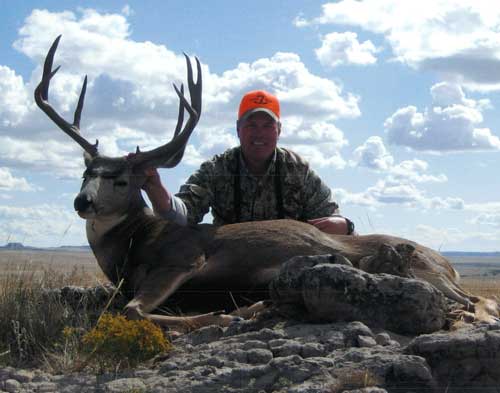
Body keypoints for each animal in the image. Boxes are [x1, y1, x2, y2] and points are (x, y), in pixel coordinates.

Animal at [35, 36, 500, 330]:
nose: (82, 202)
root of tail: (450, 264)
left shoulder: (184, 259)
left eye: (121, 178)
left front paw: (232, 313)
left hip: (426, 271)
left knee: (473, 300)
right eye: (86, 173)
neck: (135, 242)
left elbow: (131, 310)